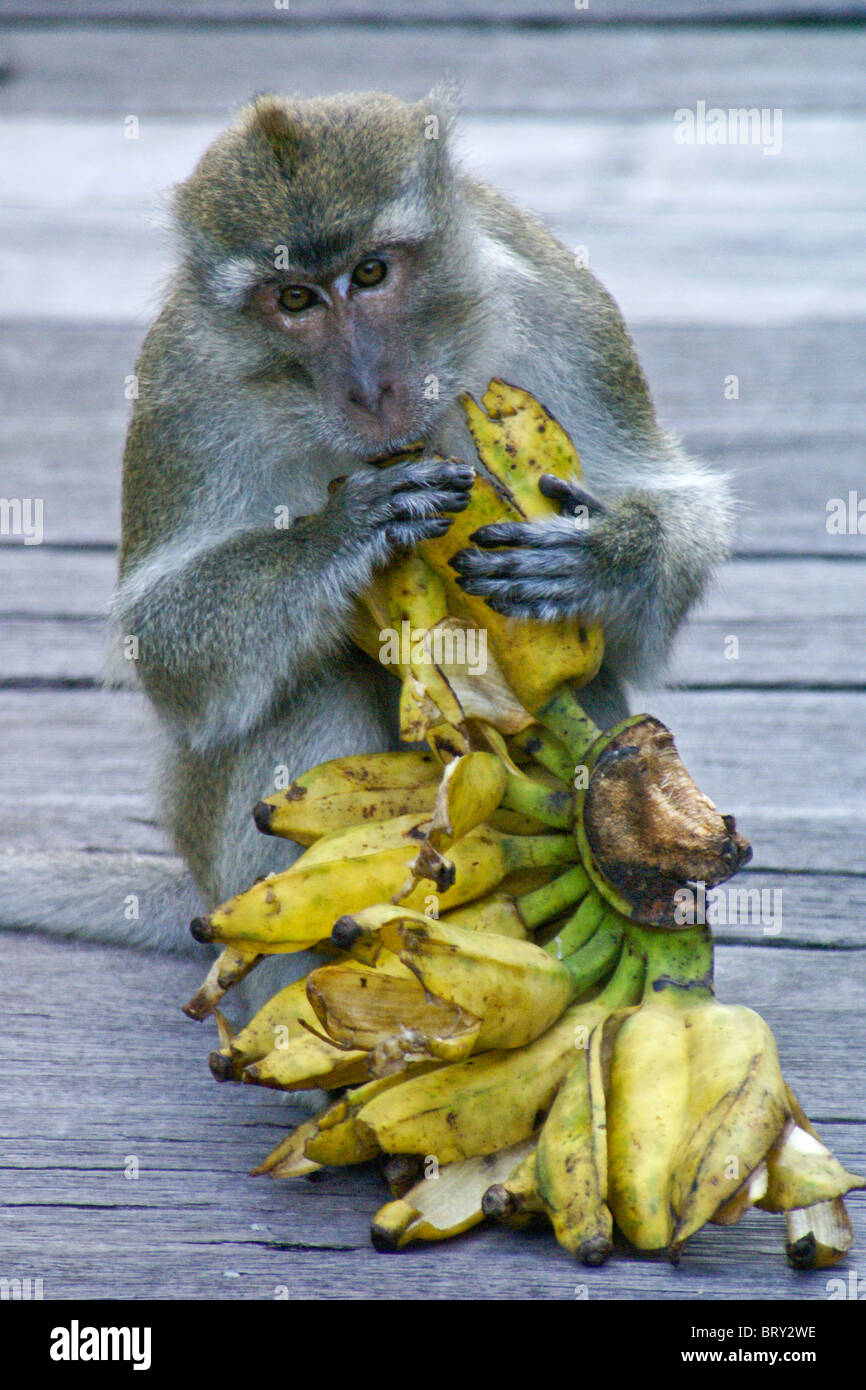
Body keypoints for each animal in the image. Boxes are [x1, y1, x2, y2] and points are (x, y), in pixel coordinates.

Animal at [1, 88, 732, 1020]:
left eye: (374, 274)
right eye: (297, 298)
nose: (370, 387)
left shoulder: (564, 308)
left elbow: (665, 533)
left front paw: (608, 555)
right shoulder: (182, 386)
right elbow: (162, 642)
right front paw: (343, 531)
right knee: (301, 694)